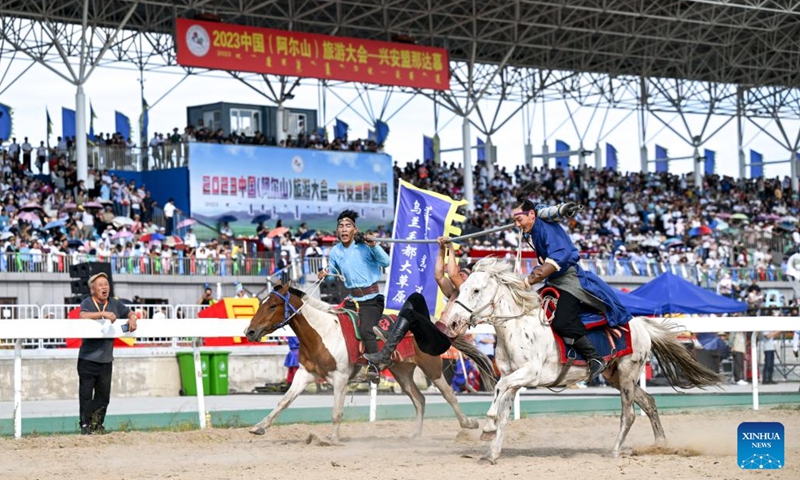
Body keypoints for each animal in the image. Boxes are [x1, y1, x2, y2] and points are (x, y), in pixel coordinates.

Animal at [244, 282, 494, 442]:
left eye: (273, 305)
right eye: (261, 303)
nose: (250, 331)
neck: (322, 331)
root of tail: (431, 324)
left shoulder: (340, 378)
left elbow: (336, 412)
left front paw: (332, 439)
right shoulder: (304, 374)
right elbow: (283, 402)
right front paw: (259, 427)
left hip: (432, 368)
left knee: (449, 394)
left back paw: (468, 424)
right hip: (402, 372)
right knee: (419, 399)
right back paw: (415, 435)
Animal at [440, 258, 720, 464]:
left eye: (476, 290)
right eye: (460, 289)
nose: (452, 323)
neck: (519, 326)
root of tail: (639, 324)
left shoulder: (530, 374)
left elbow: (498, 393)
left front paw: (487, 427)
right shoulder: (514, 380)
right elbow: (504, 412)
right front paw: (491, 454)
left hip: (628, 374)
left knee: (629, 415)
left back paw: (615, 451)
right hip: (615, 376)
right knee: (649, 403)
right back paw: (660, 444)